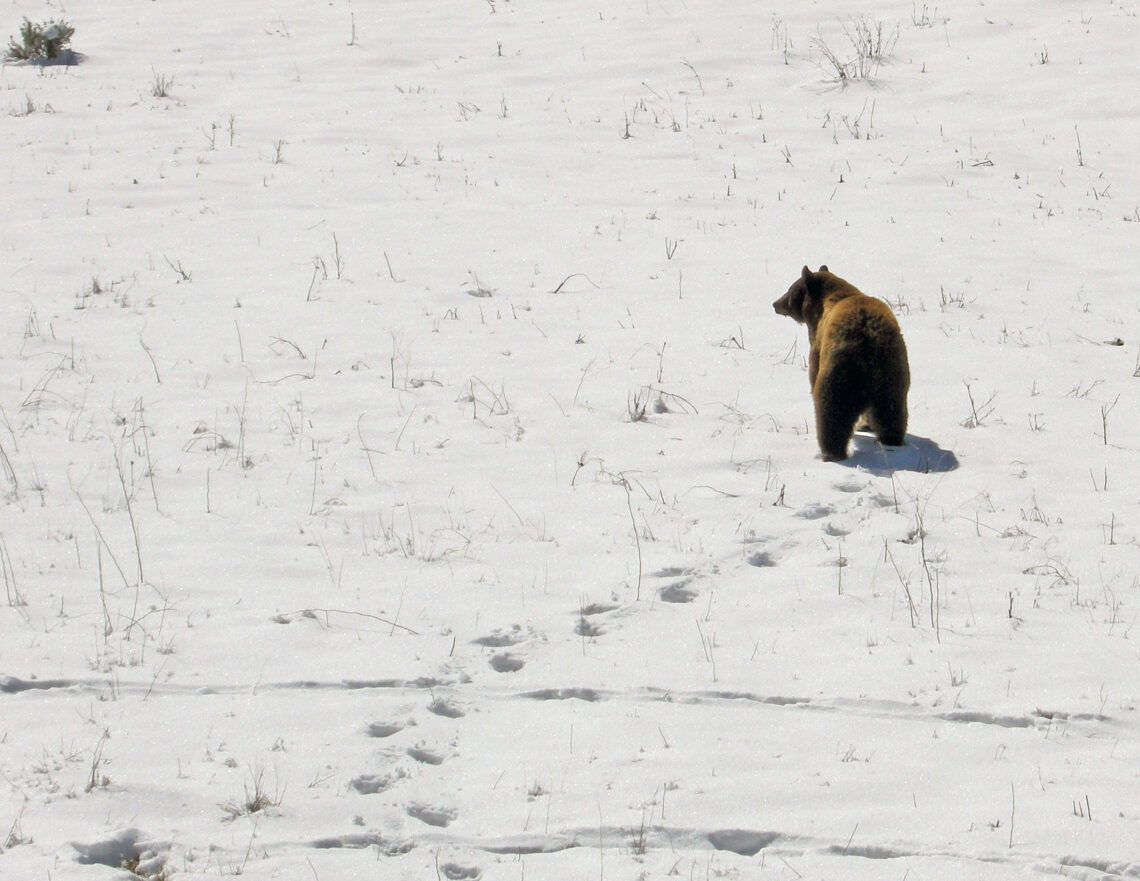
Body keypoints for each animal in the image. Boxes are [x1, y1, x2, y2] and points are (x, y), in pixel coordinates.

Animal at [772, 265, 910, 461]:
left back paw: (831, 452)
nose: (775, 304)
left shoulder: (818, 345)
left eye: (790, 289)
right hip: (892, 372)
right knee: (891, 412)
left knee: (832, 411)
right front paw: (866, 425)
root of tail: (868, 337)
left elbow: (813, 374)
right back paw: (891, 440)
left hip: (840, 370)